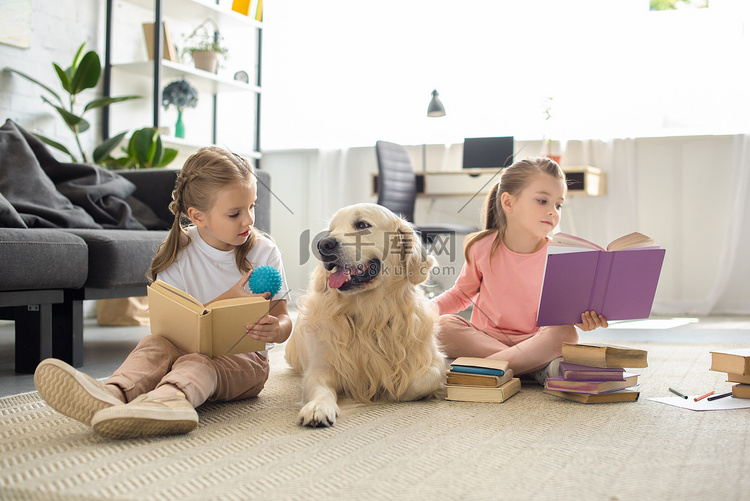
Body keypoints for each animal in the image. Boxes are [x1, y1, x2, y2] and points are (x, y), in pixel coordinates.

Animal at [284, 202, 444, 426]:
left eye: (362, 225)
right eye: (331, 230)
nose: (323, 245)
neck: (370, 311)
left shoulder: (435, 362)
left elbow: (417, 382)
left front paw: (387, 389)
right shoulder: (320, 368)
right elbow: (321, 389)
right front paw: (318, 408)